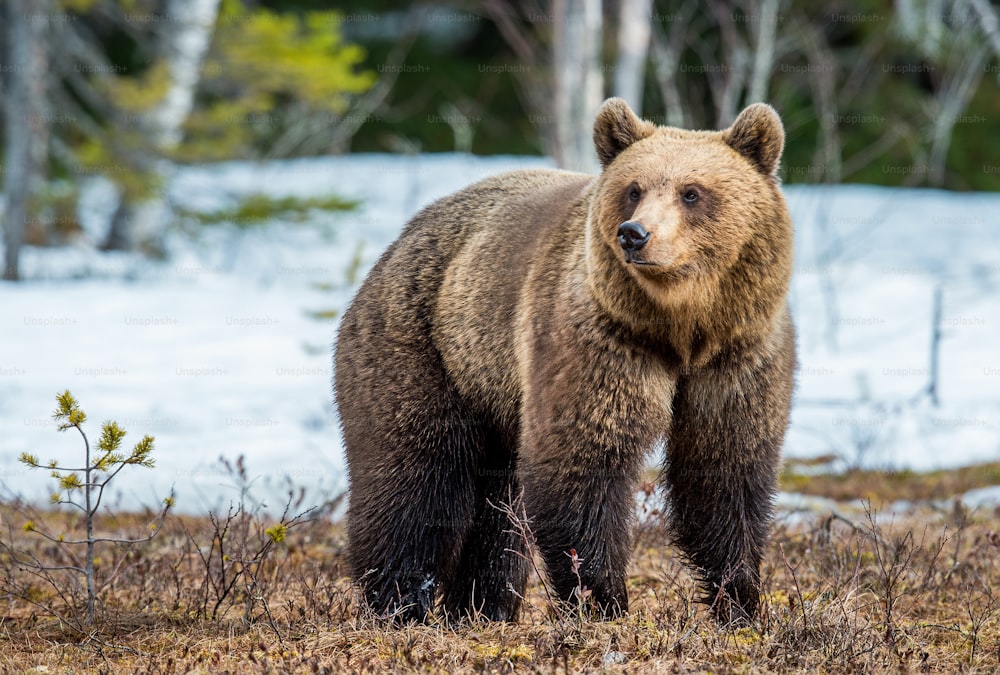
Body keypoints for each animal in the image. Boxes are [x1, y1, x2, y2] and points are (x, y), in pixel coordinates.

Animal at [336, 97, 796, 624]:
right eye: (634, 189)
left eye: (692, 192)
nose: (634, 234)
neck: (680, 329)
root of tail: (400, 241)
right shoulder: (599, 342)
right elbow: (583, 459)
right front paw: (603, 600)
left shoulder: (739, 355)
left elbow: (724, 469)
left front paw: (741, 600)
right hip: (421, 347)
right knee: (414, 477)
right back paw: (399, 602)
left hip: (491, 391)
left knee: (496, 509)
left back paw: (480, 606)